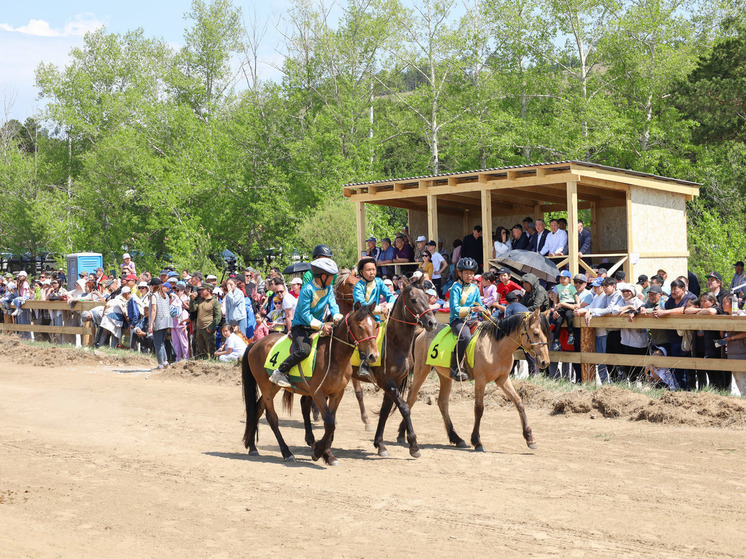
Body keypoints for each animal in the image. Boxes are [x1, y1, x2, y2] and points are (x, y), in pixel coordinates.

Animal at [241, 304, 378, 466]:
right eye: (359, 326)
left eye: (376, 325)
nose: (373, 356)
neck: (333, 356)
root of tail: (256, 343)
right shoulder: (318, 394)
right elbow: (329, 423)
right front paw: (319, 451)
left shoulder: (337, 394)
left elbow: (330, 424)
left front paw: (328, 455)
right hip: (266, 388)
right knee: (272, 418)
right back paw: (287, 452)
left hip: (272, 387)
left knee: (256, 410)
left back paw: (252, 447)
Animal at [398, 310, 548, 456]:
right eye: (536, 333)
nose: (544, 362)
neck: (495, 346)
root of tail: (422, 332)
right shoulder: (481, 380)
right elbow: (479, 409)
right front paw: (477, 442)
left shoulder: (503, 379)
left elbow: (519, 403)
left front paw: (529, 438)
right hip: (421, 369)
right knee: (411, 397)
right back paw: (401, 434)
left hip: (444, 375)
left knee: (442, 403)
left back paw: (457, 438)